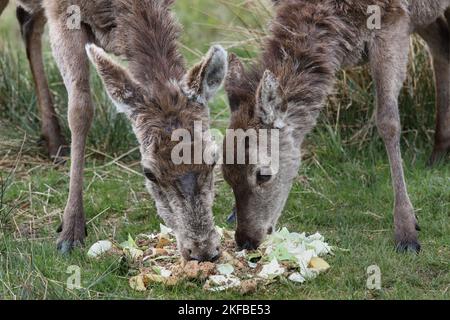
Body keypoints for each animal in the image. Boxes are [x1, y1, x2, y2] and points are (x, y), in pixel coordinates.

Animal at [2, 0, 229, 262]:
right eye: (149, 173)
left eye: (213, 160)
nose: (202, 251)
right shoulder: (60, 12)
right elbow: (80, 110)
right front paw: (70, 232)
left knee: (26, 20)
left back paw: (55, 142)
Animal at [222, 0, 450, 255]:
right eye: (225, 173)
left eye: (263, 174)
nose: (245, 240)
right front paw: (232, 213)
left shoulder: (394, 20)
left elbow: (388, 122)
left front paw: (407, 232)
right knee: (442, 45)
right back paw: (439, 152)